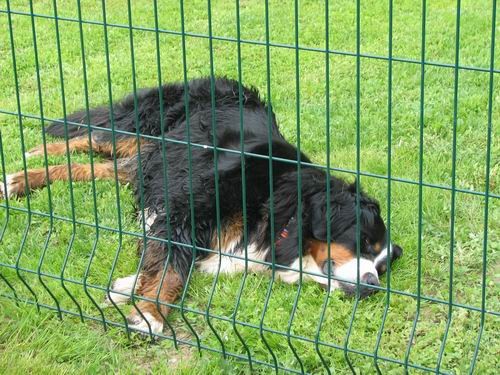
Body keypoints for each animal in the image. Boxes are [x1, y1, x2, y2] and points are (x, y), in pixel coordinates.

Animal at [0, 76, 402, 334]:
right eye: (365, 242)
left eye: (382, 268)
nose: (372, 285)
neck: (282, 210)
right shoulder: (185, 213)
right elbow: (172, 269)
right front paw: (151, 314)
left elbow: (166, 262)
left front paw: (128, 288)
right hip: (147, 128)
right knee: (92, 137)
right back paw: (35, 155)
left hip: (149, 158)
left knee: (93, 165)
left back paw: (22, 179)